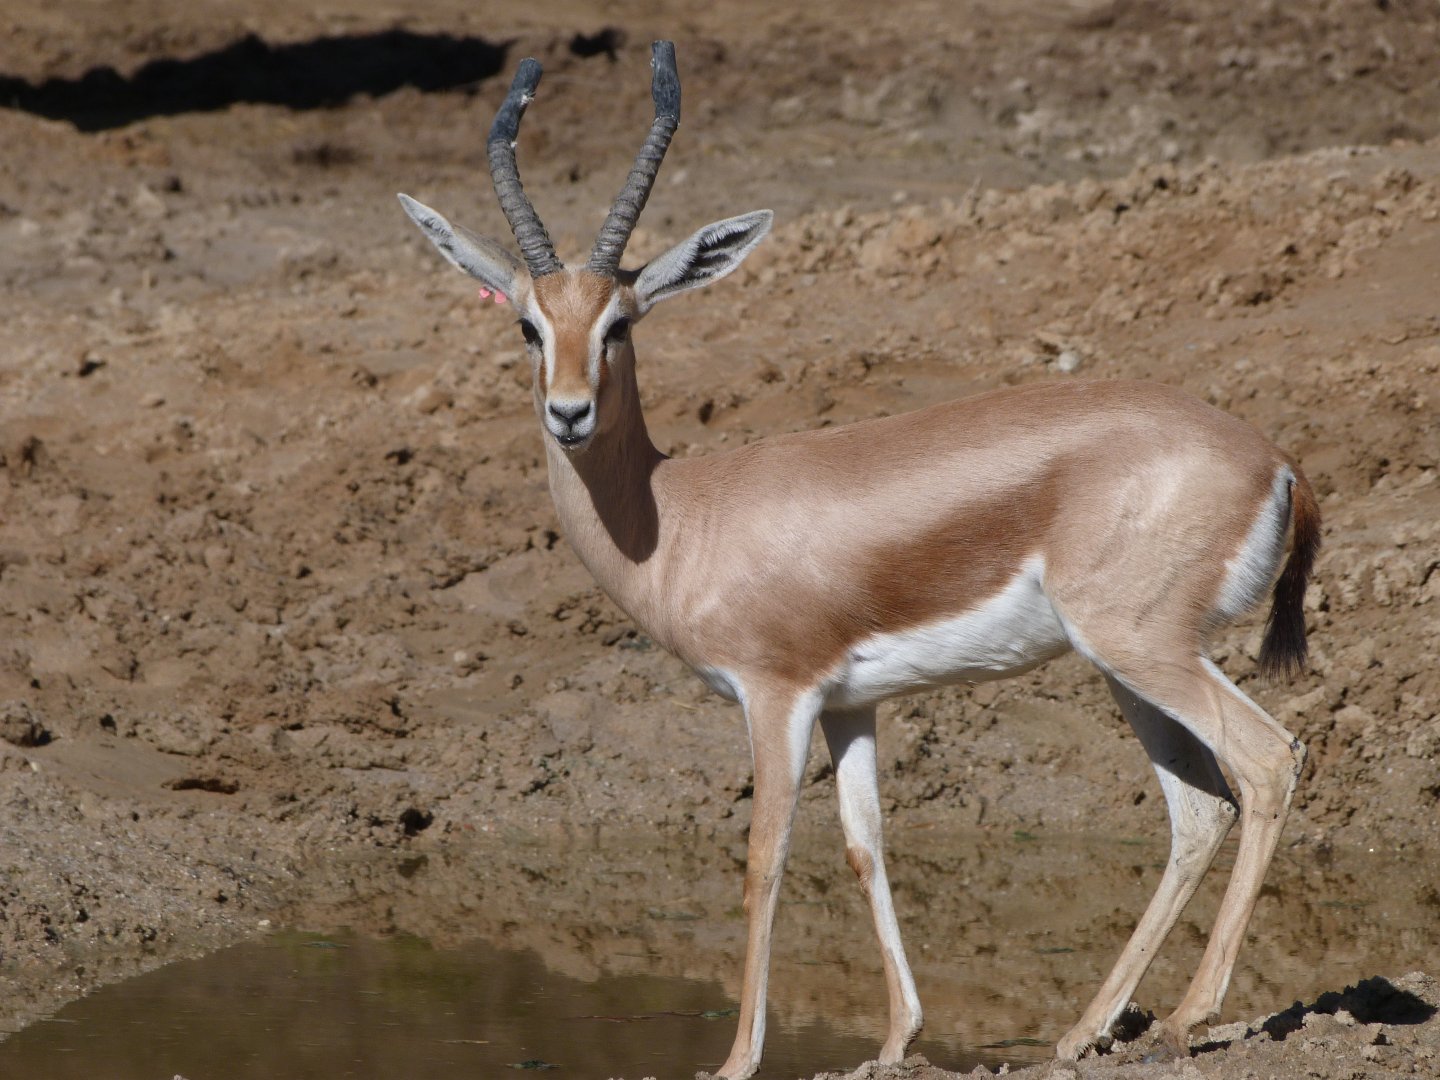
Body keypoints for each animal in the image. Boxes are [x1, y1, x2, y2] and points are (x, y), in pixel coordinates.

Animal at [398, 42, 1320, 1080]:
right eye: (527, 325)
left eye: (620, 324)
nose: (568, 414)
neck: (682, 515)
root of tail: (1273, 459)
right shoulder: (851, 707)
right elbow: (864, 845)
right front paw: (893, 1040)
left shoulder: (775, 695)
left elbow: (765, 857)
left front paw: (736, 1061)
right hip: (1125, 665)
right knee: (1198, 808)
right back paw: (1085, 1030)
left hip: (1142, 649)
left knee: (1266, 761)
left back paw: (1186, 1017)